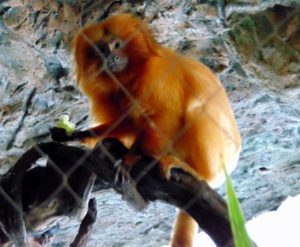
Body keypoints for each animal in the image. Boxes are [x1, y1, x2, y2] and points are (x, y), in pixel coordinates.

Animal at [70, 14, 241, 247]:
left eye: (117, 45)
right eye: (103, 50)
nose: (113, 58)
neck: (128, 76)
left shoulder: (157, 73)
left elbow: (165, 115)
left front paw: (131, 158)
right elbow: (128, 123)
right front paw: (82, 135)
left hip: (218, 156)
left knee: (197, 109)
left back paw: (196, 172)